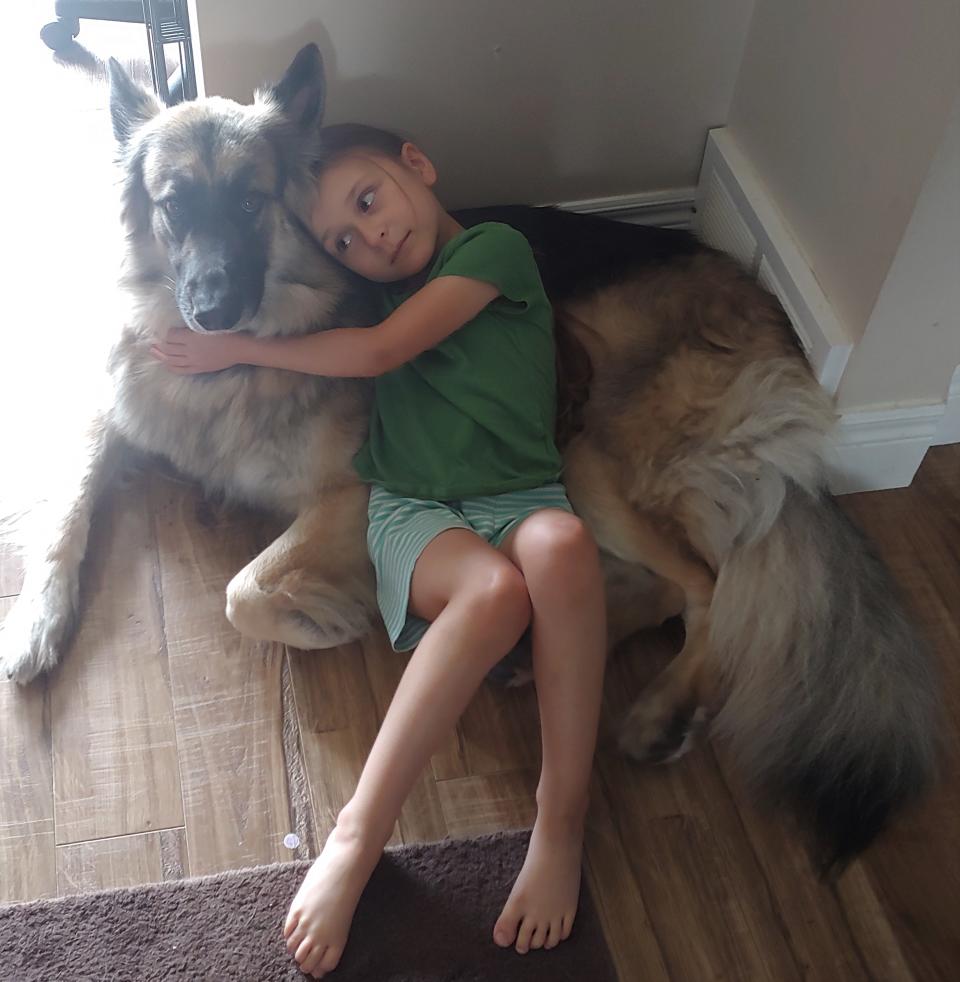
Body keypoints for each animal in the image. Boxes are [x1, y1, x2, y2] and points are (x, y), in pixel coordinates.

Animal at [1, 42, 936, 872]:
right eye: (175, 206)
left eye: (251, 203)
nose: (211, 310)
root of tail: (767, 311)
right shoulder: (116, 406)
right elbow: (65, 510)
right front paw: (35, 620)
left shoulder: (355, 490)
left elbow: (246, 590)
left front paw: (319, 617)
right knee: (654, 586)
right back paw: (538, 653)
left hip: (586, 453)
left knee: (708, 586)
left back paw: (661, 706)